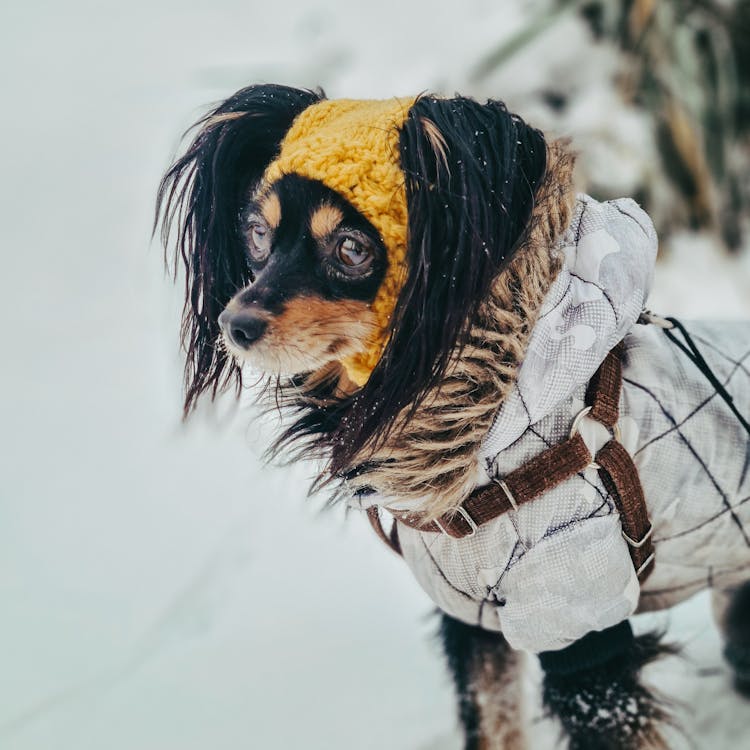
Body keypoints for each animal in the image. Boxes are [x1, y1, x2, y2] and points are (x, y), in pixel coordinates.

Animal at [157, 85, 750, 748]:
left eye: (352, 248)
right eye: (258, 235)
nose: (235, 323)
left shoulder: (580, 627)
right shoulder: (474, 620)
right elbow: (490, 723)